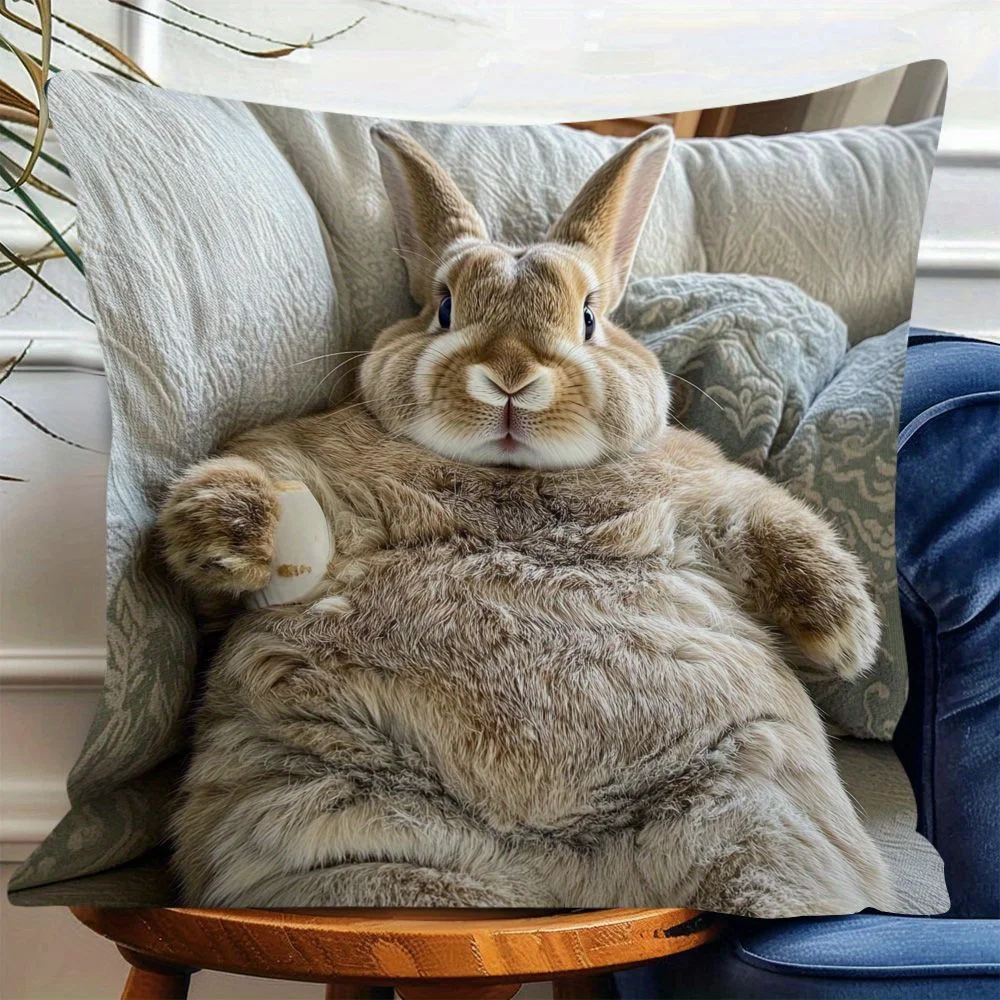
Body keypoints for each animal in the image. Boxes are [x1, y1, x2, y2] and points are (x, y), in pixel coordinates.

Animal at [158, 123, 894, 915]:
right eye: (444, 308)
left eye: (589, 317)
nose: (511, 377)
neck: (515, 477)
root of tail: (563, 886)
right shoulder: (297, 459)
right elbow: (252, 487)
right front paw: (226, 535)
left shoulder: (712, 491)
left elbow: (780, 527)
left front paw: (846, 641)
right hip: (331, 827)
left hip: (755, 816)